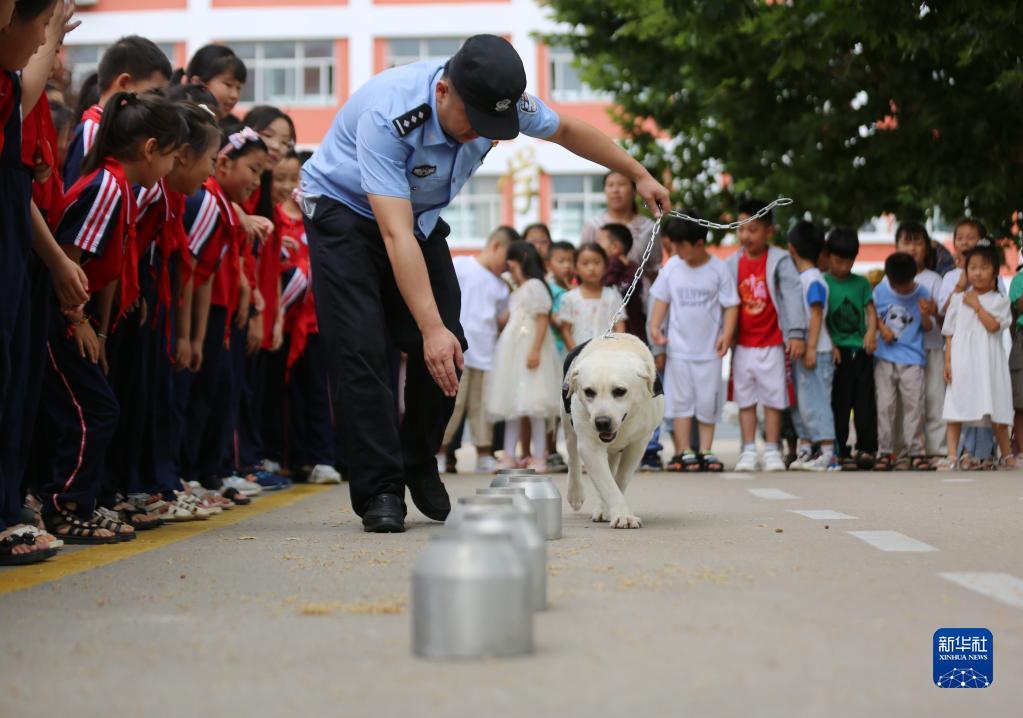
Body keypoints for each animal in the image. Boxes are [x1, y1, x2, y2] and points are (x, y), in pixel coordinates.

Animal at [560, 333, 662, 527]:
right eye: (589, 391)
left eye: (620, 391)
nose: (602, 422)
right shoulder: (590, 447)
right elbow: (607, 484)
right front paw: (623, 515)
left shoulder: (638, 444)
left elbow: (618, 481)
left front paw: (614, 511)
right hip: (568, 425)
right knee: (573, 457)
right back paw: (575, 494)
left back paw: (602, 509)